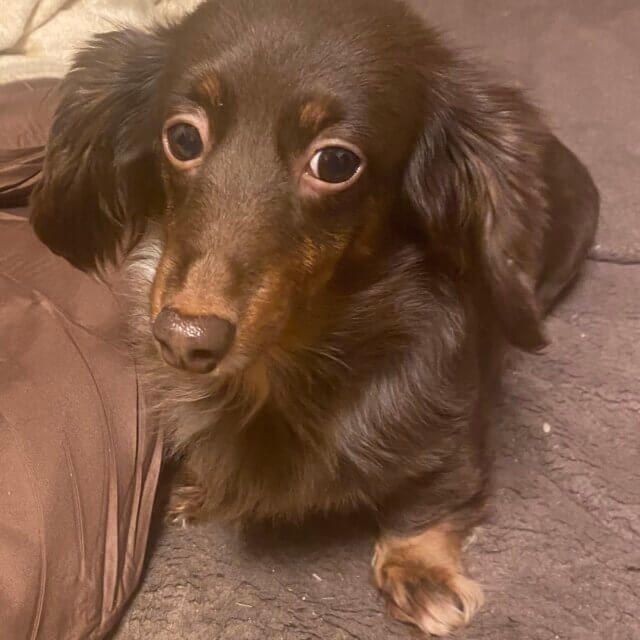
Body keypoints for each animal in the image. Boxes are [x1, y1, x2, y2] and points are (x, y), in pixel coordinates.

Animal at [30, 0, 599, 635]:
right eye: (181, 136)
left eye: (335, 162)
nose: (184, 339)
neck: (281, 368)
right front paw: (202, 485)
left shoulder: (456, 423)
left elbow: (432, 498)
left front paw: (420, 570)